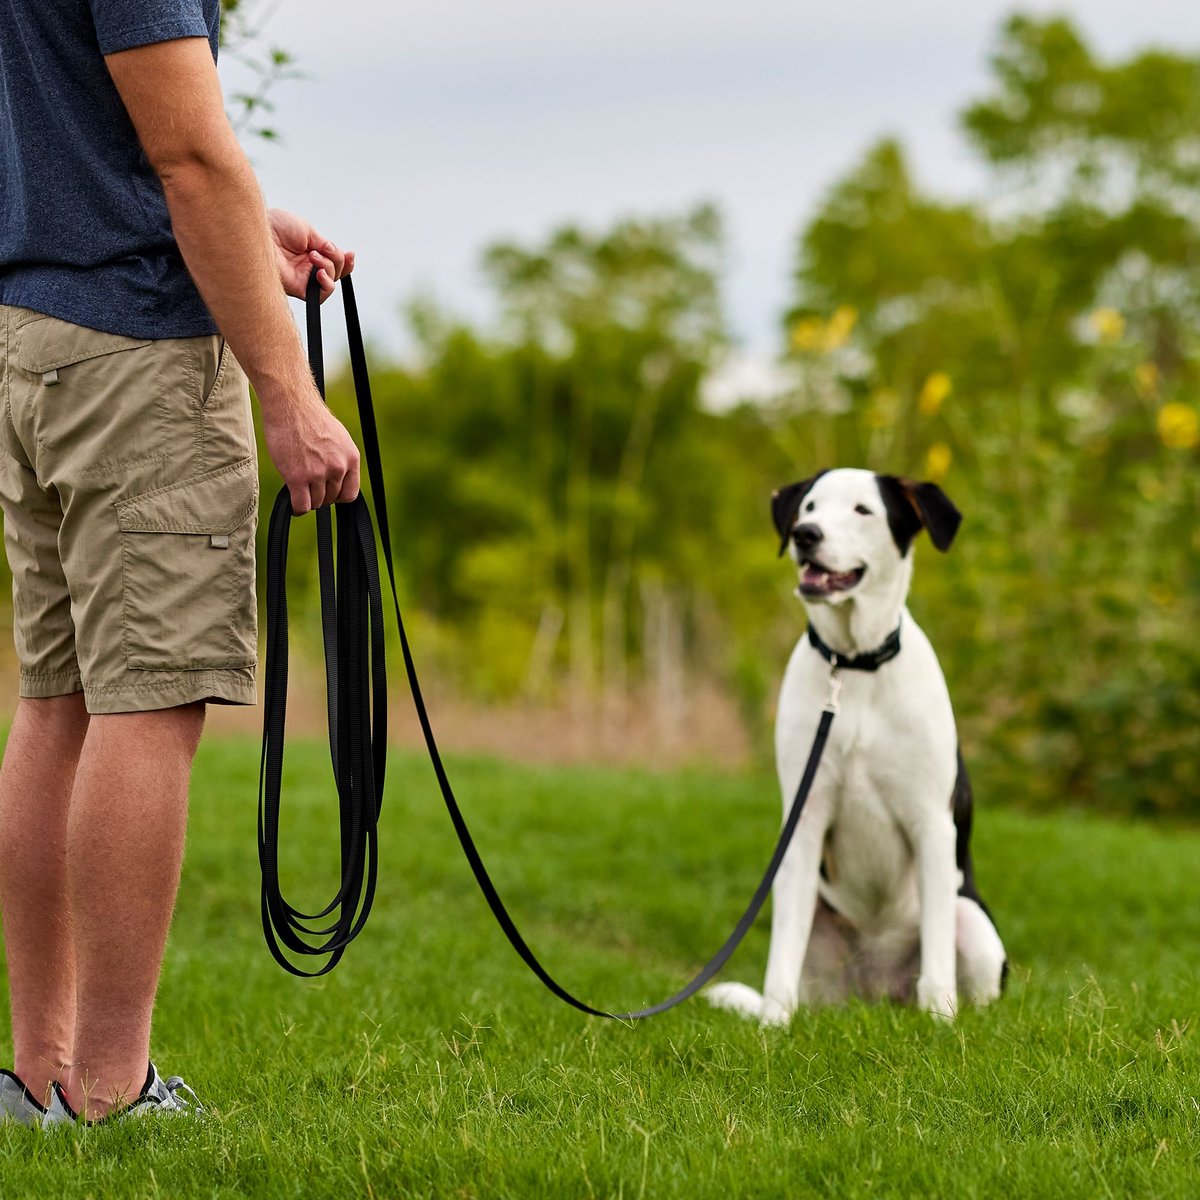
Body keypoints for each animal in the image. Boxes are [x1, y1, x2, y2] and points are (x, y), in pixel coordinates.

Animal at [705, 468, 1008, 1022]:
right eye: (809, 507)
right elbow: (781, 958)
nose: (805, 535)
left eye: (864, 510)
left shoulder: (932, 822)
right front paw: (772, 1027)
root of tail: (878, 995)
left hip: (973, 923)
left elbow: (937, 954)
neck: (852, 666)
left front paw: (941, 1022)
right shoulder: (803, 822)